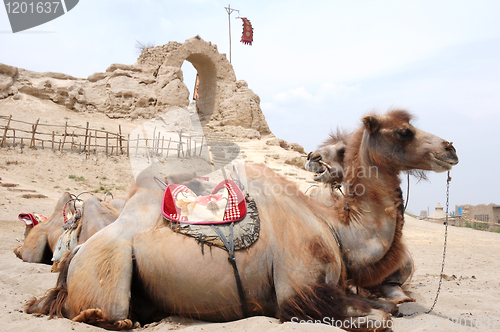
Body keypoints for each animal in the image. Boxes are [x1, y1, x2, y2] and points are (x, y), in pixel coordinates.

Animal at [26, 110, 458, 330]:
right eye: (404, 131)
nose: (451, 147)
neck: (334, 227)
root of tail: (75, 254)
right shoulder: (299, 292)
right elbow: (382, 316)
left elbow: (389, 307)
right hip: (107, 269)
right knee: (106, 314)